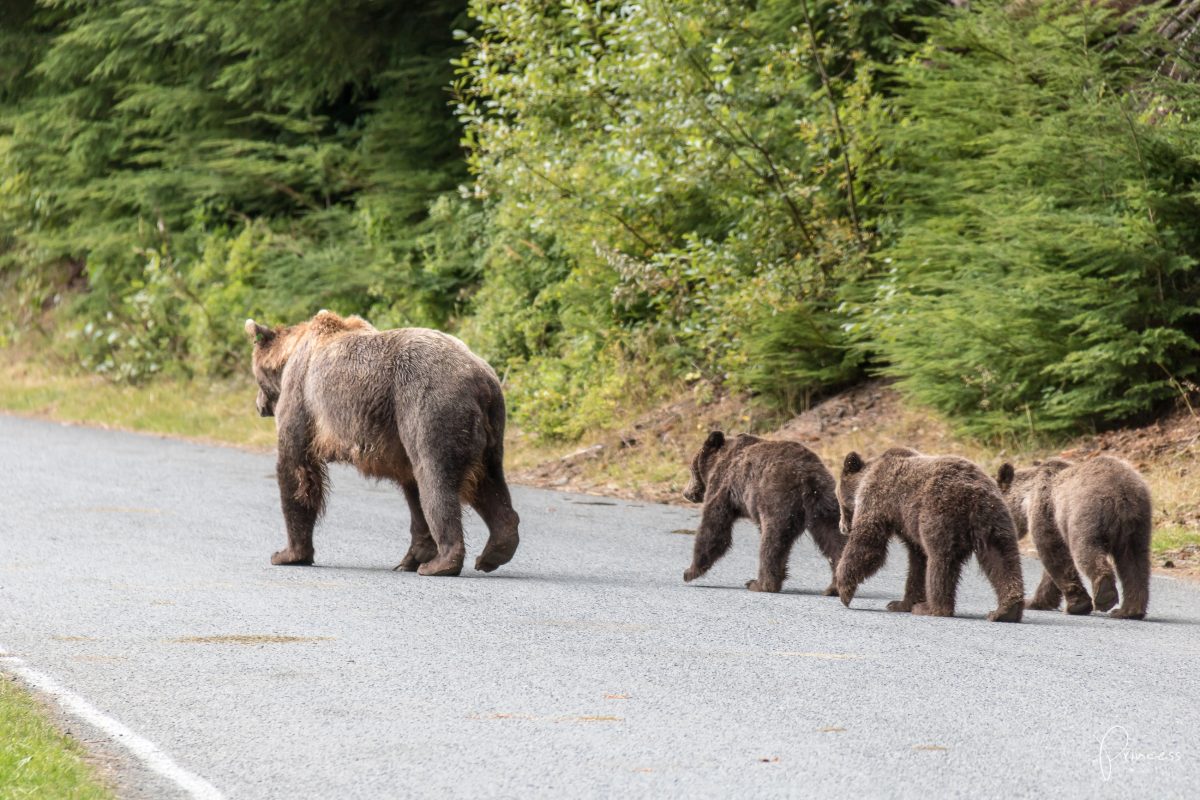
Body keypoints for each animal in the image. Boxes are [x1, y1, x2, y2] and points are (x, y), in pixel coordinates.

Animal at [246, 309, 518, 578]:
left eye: (256, 377)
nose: (258, 405)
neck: (291, 356)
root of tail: (480, 378)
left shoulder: (302, 397)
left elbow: (295, 466)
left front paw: (287, 554)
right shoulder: (397, 440)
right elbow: (412, 490)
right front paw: (412, 557)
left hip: (430, 405)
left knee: (435, 478)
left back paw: (442, 563)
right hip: (490, 428)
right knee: (489, 482)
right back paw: (495, 549)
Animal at [681, 431, 849, 594]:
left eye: (691, 470)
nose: (686, 493)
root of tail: (807, 477)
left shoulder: (723, 487)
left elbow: (713, 527)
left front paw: (689, 572)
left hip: (777, 499)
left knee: (771, 542)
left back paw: (759, 584)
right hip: (826, 504)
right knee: (834, 539)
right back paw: (834, 587)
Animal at [835, 448, 1022, 623]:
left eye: (840, 502)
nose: (842, 528)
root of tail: (974, 494)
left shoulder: (878, 498)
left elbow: (868, 544)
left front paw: (844, 591)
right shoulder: (908, 528)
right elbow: (917, 562)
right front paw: (900, 603)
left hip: (940, 514)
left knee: (941, 561)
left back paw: (932, 608)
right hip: (996, 522)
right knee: (1003, 560)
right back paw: (1006, 610)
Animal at [993, 455, 1152, 618]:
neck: (1026, 498)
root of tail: (1123, 492)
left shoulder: (1047, 511)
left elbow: (1052, 552)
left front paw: (1076, 605)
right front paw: (1036, 601)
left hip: (1085, 515)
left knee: (1086, 551)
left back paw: (1104, 595)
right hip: (1137, 526)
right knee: (1135, 563)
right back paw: (1128, 610)